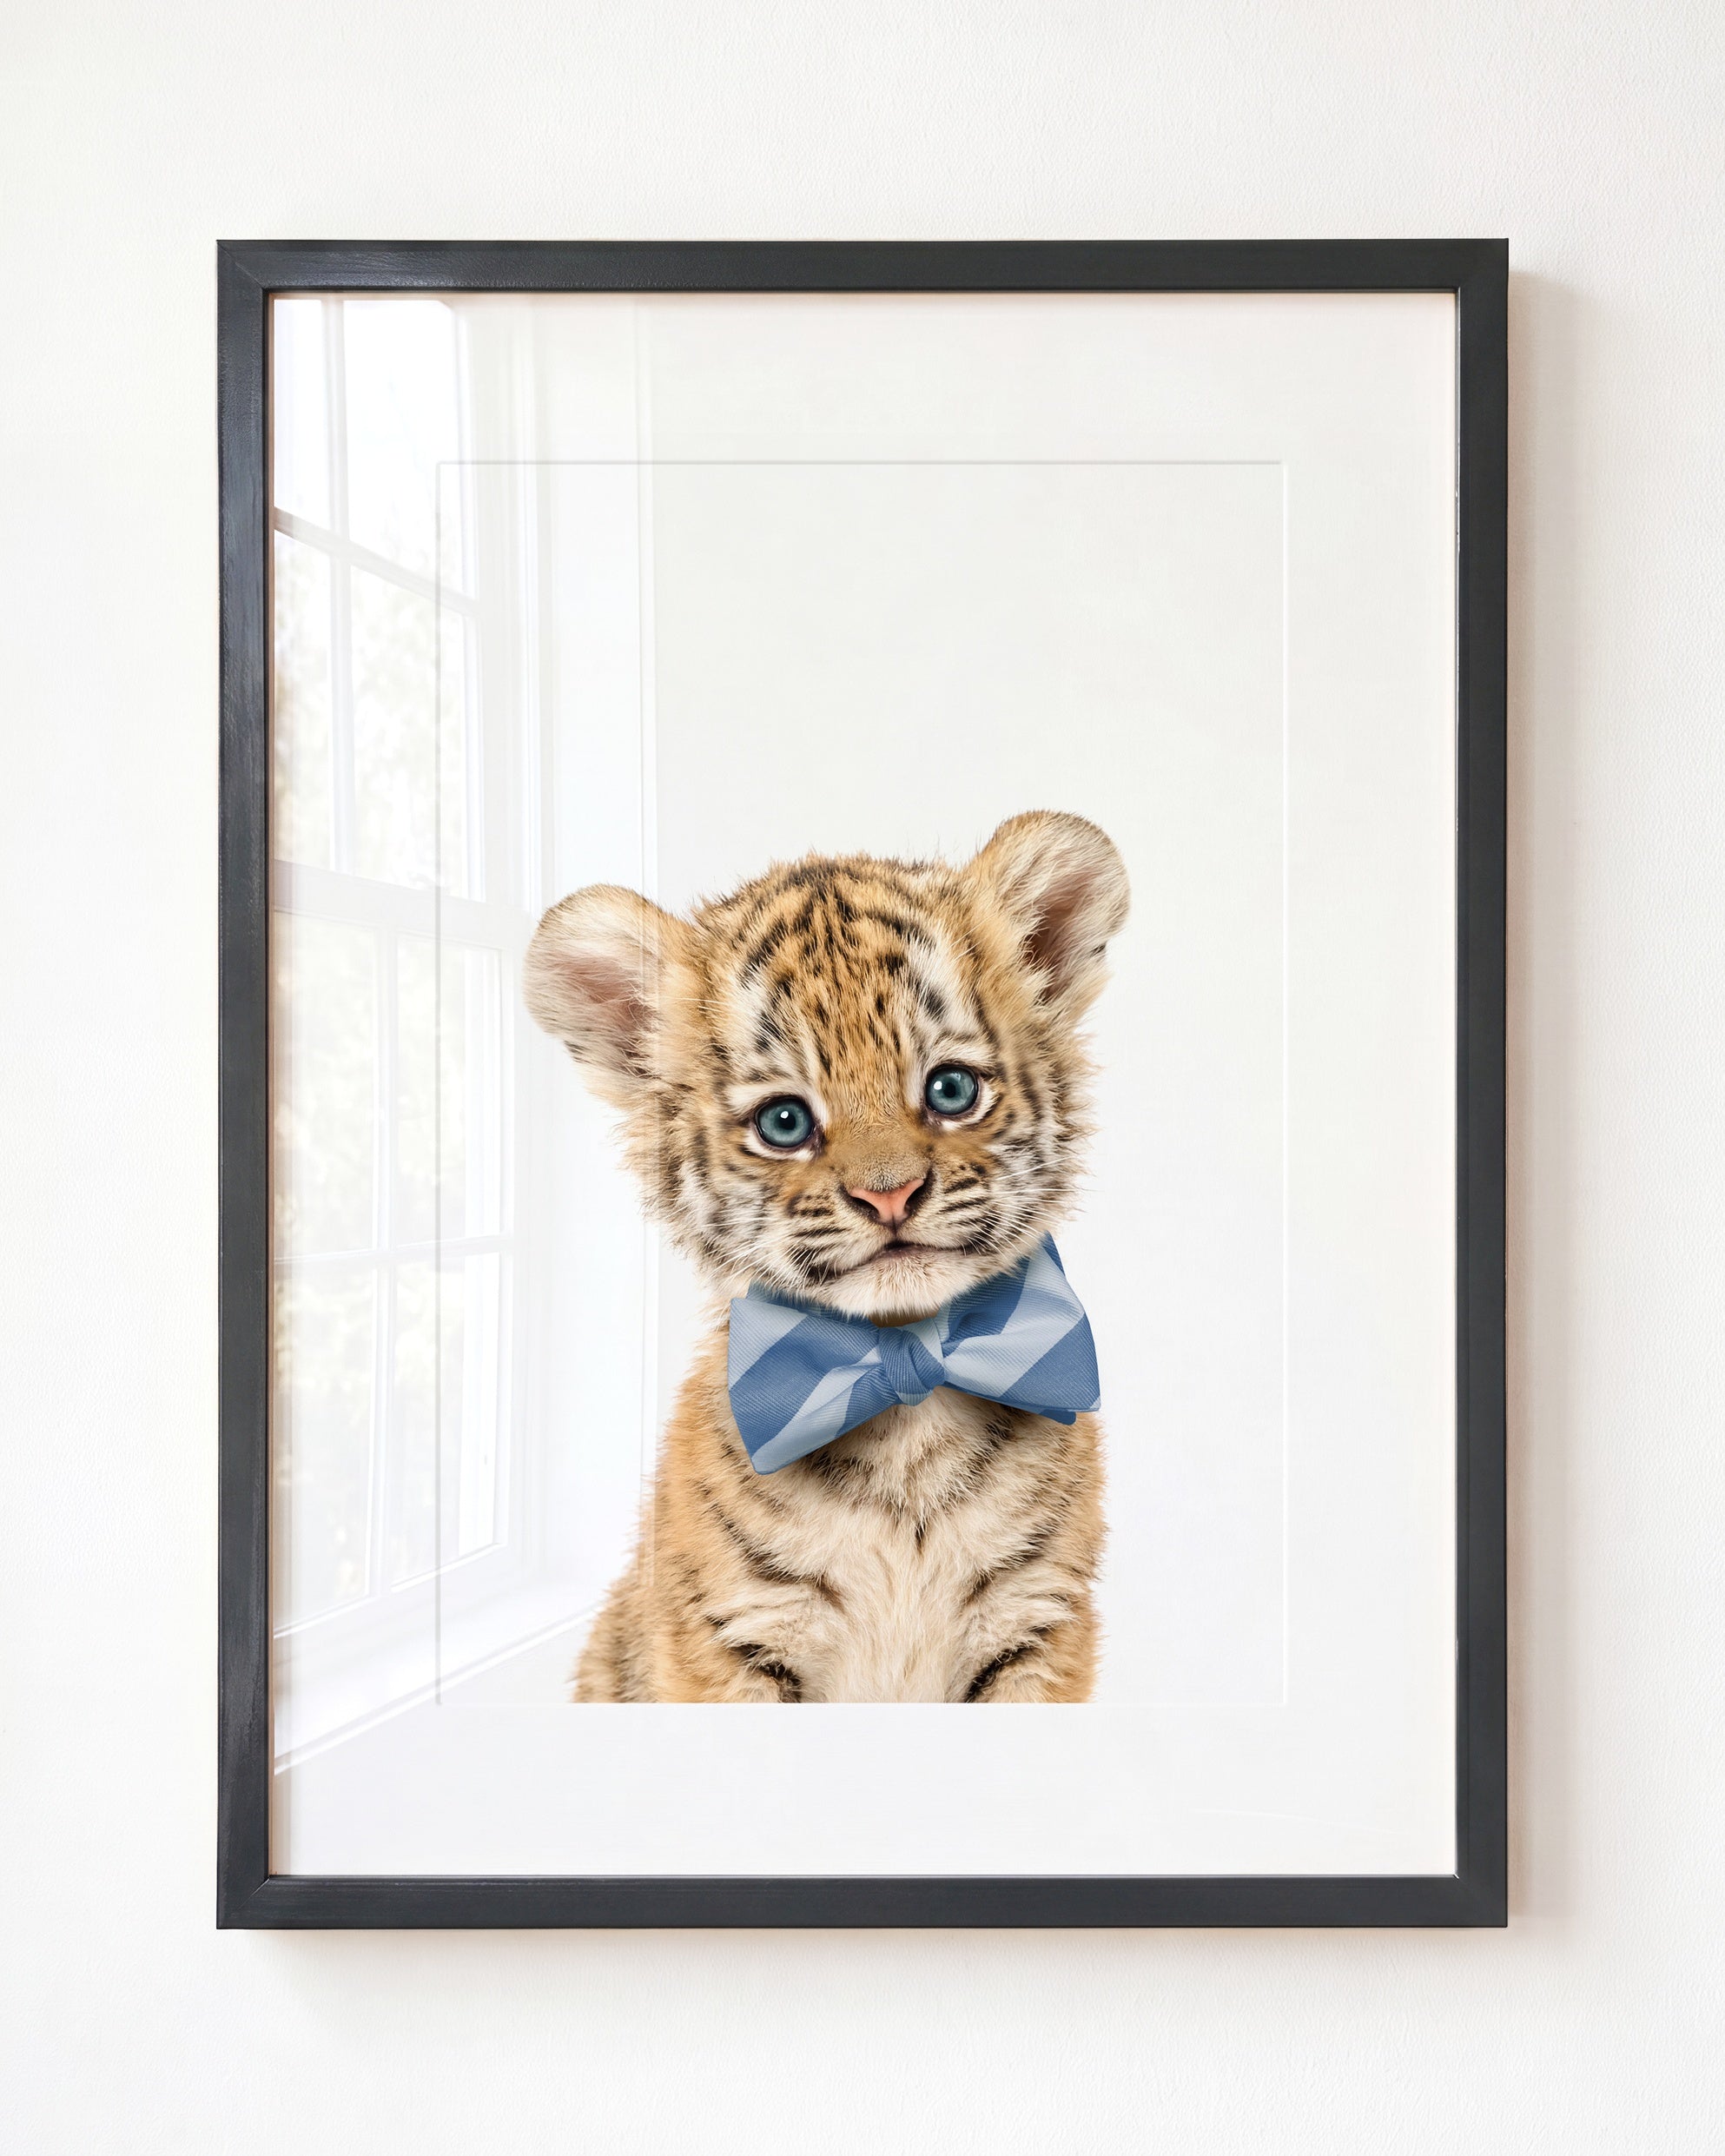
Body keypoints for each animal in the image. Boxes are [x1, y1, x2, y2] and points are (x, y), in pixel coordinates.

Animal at [522, 810, 1129, 1703]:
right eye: (784, 1122)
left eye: (951, 1090)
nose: (890, 1195)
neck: (906, 1396)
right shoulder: (731, 1639)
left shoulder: (1037, 1622)